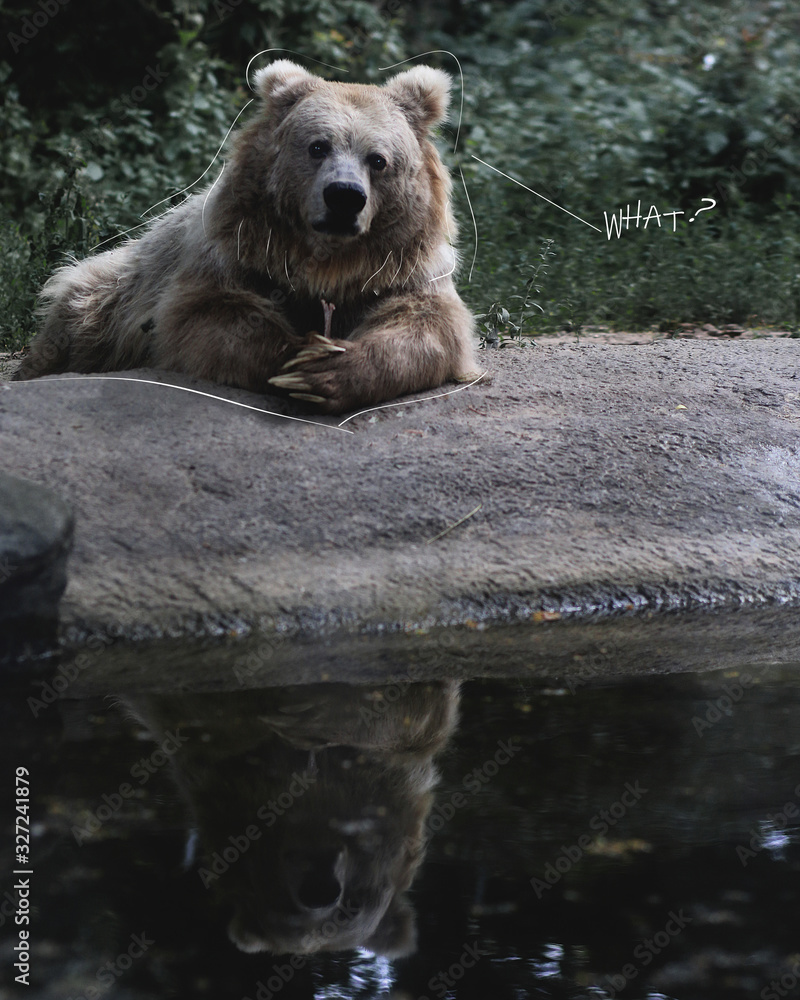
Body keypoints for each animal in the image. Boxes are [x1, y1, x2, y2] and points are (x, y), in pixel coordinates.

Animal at [14, 60, 476, 414]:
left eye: (378, 159)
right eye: (317, 146)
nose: (344, 196)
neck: (328, 261)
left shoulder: (402, 268)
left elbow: (430, 326)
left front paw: (330, 372)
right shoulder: (235, 251)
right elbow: (209, 316)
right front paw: (298, 358)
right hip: (113, 289)